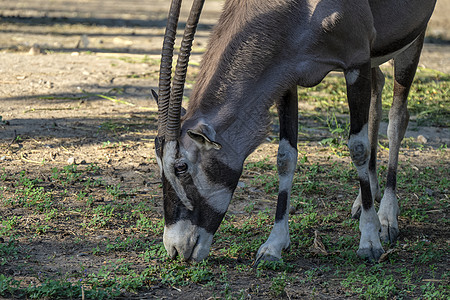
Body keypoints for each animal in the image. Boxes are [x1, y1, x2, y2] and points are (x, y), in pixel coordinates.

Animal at [154, 0, 436, 262]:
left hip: (411, 40)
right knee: (377, 95)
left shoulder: (356, 63)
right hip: (376, 57)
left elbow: (358, 148)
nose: (175, 249)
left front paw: (369, 240)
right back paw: (367, 198)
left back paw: (387, 216)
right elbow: (285, 157)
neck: (305, 11)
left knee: (397, 119)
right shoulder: (286, 79)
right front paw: (274, 245)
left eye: (181, 167)